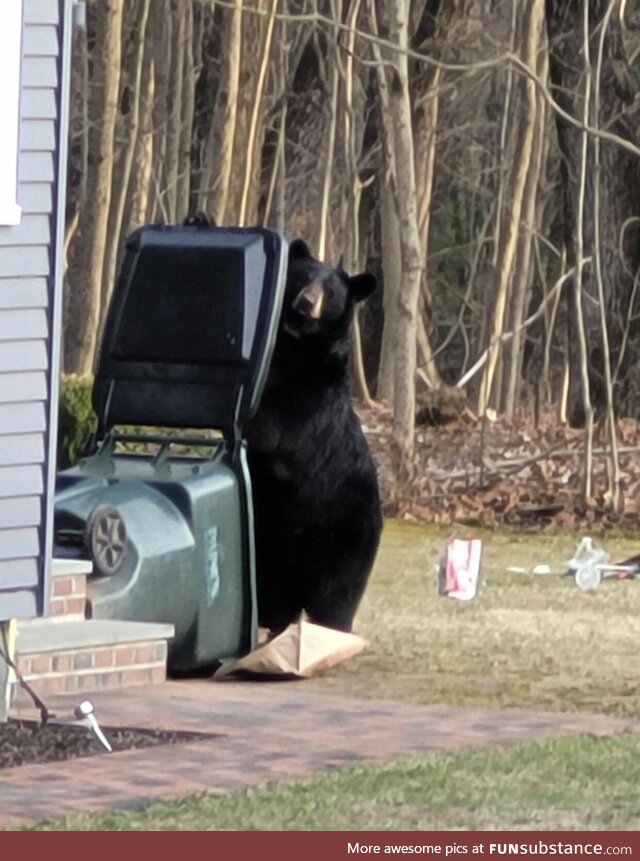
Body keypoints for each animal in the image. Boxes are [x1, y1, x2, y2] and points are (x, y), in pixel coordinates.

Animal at [245, 238, 382, 634]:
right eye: (304, 277)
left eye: (331, 291)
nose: (306, 302)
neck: (295, 347)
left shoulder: (308, 400)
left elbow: (271, 428)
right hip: (271, 551)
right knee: (275, 601)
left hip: (344, 538)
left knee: (335, 600)